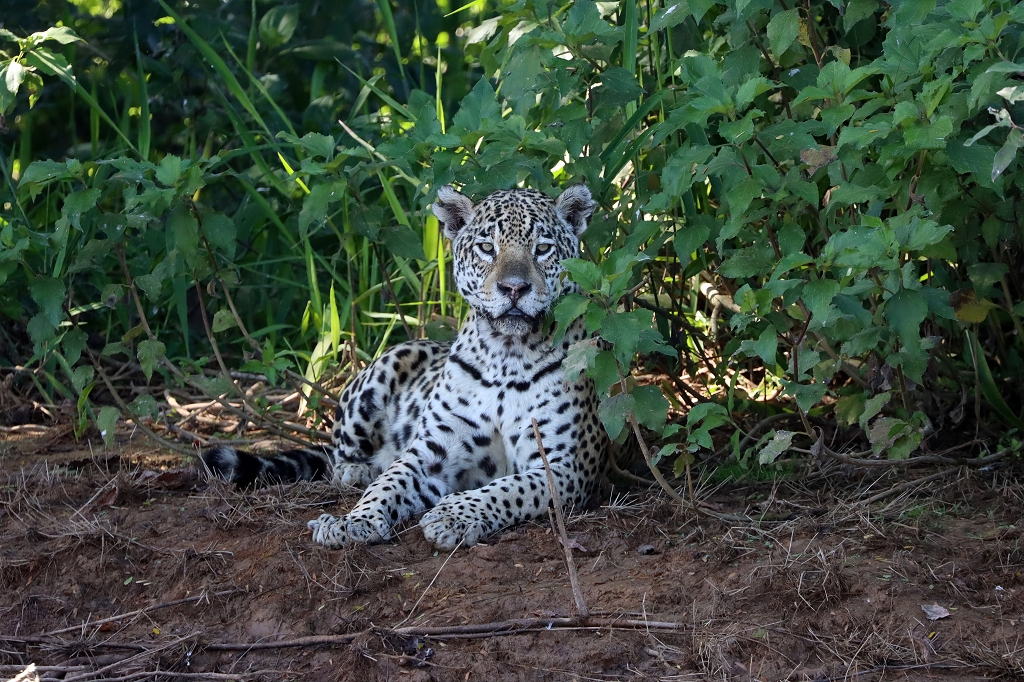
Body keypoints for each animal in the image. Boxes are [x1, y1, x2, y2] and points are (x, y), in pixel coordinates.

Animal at [203, 184, 608, 551]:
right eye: (486, 248)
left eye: (543, 249)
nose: (513, 288)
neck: (506, 354)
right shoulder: (431, 451)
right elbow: (388, 485)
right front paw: (352, 522)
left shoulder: (564, 466)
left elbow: (507, 490)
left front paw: (452, 516)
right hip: (382, 371)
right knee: (342, 456)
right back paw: (356, 469)